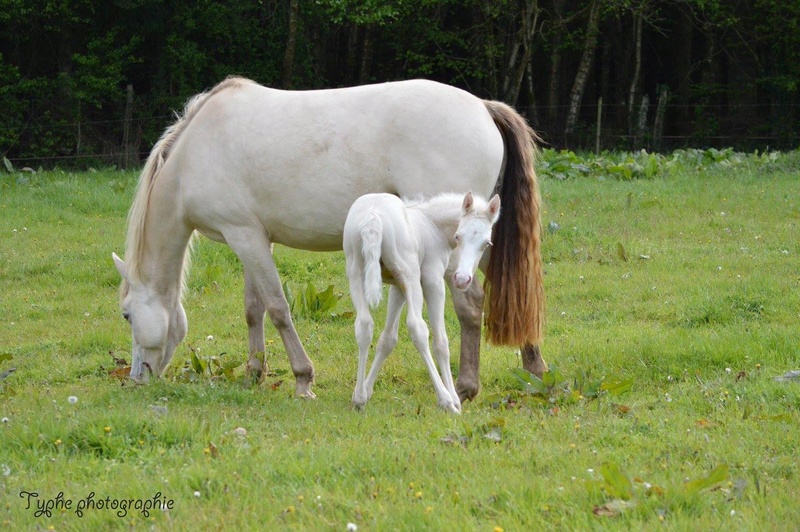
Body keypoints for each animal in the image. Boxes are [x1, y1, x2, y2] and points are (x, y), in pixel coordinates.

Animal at [344, 189, 500, 414]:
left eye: (486, 243)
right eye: (458, 236)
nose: (462, 279)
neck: (432, 225)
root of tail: (373, 218)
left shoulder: (397, 286)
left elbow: (387, 339)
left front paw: (367, 389)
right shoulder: (432, 280)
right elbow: (441, 342)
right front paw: (454, 399)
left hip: (356, 271)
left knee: (364, 325)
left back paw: (359, 397)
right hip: (410, 275)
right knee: (417, 328)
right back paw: (445, 399)